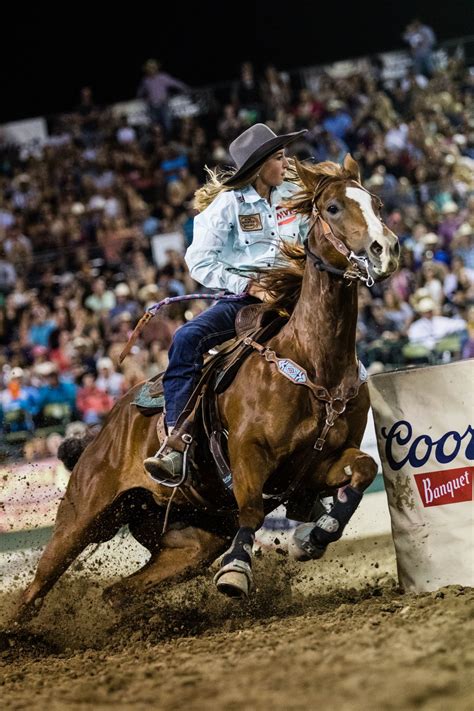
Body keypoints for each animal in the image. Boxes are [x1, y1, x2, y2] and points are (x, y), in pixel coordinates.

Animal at [12, 156, 398, 624]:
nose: (385, 248)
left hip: (192, 542)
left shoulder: (315, 466)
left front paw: (314, 535)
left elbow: (364, 469)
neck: (314, 363)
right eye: (334, 207)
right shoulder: (248, 454)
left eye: (376, 202)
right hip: (83, 515)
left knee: (118, 592)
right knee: (36, 588)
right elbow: (252, 510)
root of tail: (102, 430)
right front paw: (236, 573)